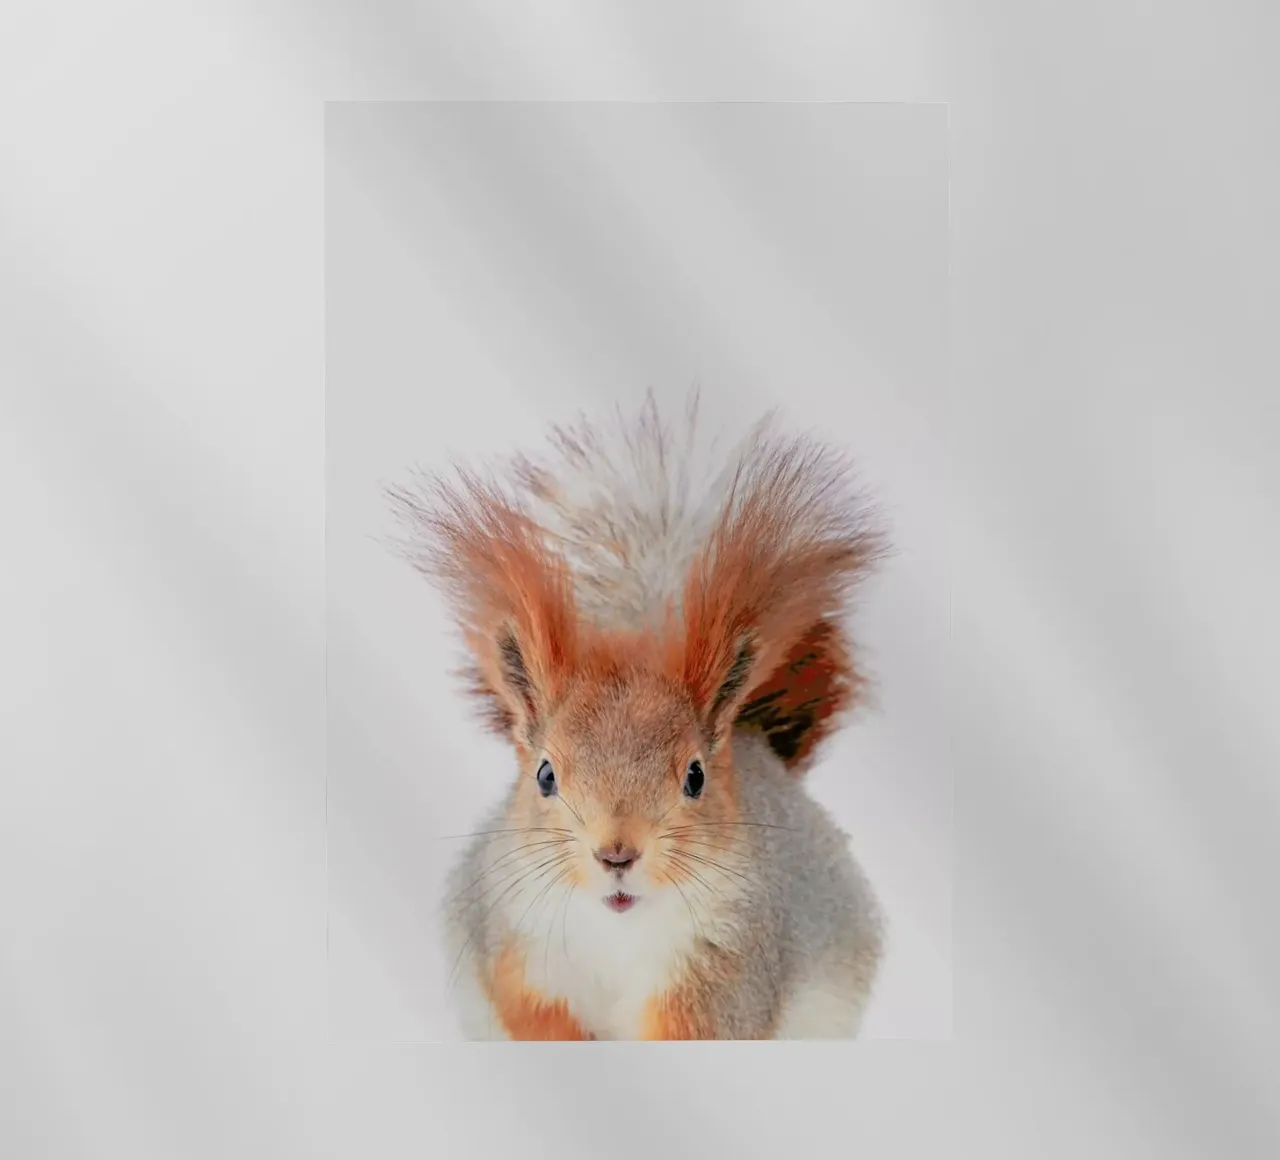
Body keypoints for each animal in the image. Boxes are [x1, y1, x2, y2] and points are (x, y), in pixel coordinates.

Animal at [387, 391, 887, 1040]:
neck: (616, 931)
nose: (617, 854)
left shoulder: (726, 969)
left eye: (696, 777)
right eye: (544, 775)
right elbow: (532, 1015)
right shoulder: (513, 944)